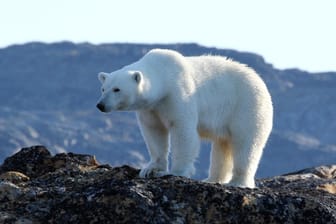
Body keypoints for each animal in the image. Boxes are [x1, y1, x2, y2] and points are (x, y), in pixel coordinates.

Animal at [96, 48, 272, 187]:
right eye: (103, 88)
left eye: (117, 89)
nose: (100, 105)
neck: (163, 76)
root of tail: (260, 81)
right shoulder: (151, 108)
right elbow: (154, 132)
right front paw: (150, 169)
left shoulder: (178, 94)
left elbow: (182, 130)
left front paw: (174, 172)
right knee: (222, 146)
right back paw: (212, 179)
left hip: (247, 106)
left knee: (245, 143)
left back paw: (238, 182)